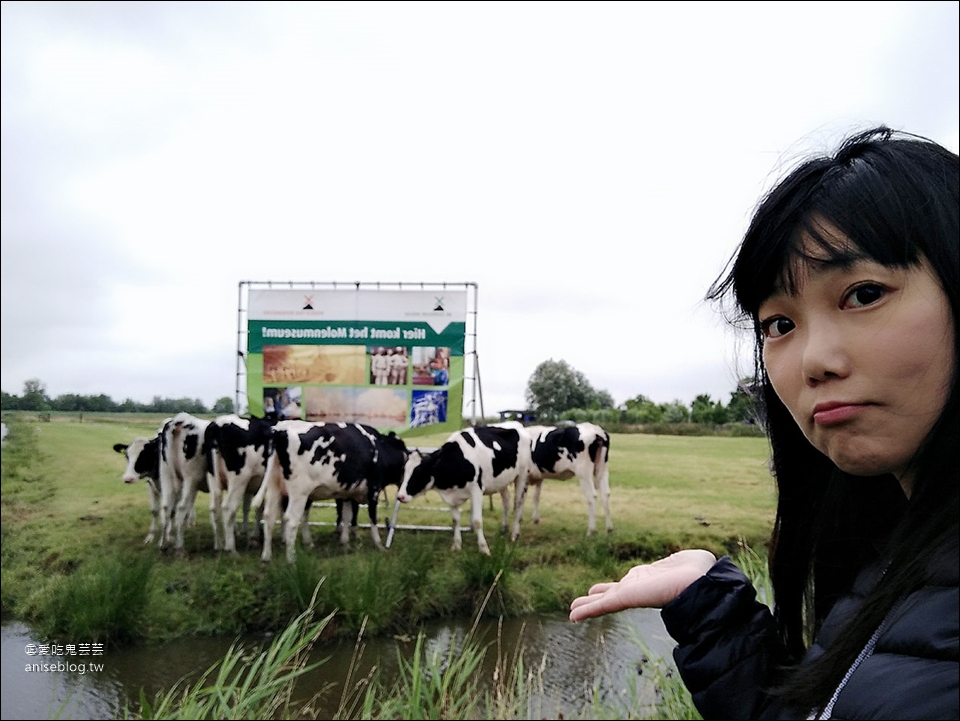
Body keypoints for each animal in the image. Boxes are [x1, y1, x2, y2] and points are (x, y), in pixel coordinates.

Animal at [253, 422, 406, 564]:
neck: (380, 449)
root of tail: (280, 430)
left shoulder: (347, 493)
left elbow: (346, 516)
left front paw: (345, 543)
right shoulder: (373, 490)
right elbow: (372, 518)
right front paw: (379, 545)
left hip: (274, 487)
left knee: (269, 516)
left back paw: (266, 557)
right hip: (299, 493)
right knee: (291, 520)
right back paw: (291, 559)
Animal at [396, 424, 532, 556]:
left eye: (418, 472)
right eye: (403, 471)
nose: (400, 496)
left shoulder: (476, 490)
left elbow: (477, 521)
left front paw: (484, 549)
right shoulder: (450, 496)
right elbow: (455, 520)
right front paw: (456, 545)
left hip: (522, 475)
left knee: (518, 503)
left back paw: (514, 534)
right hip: (501, 481)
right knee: (506, 501)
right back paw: (504, 528)